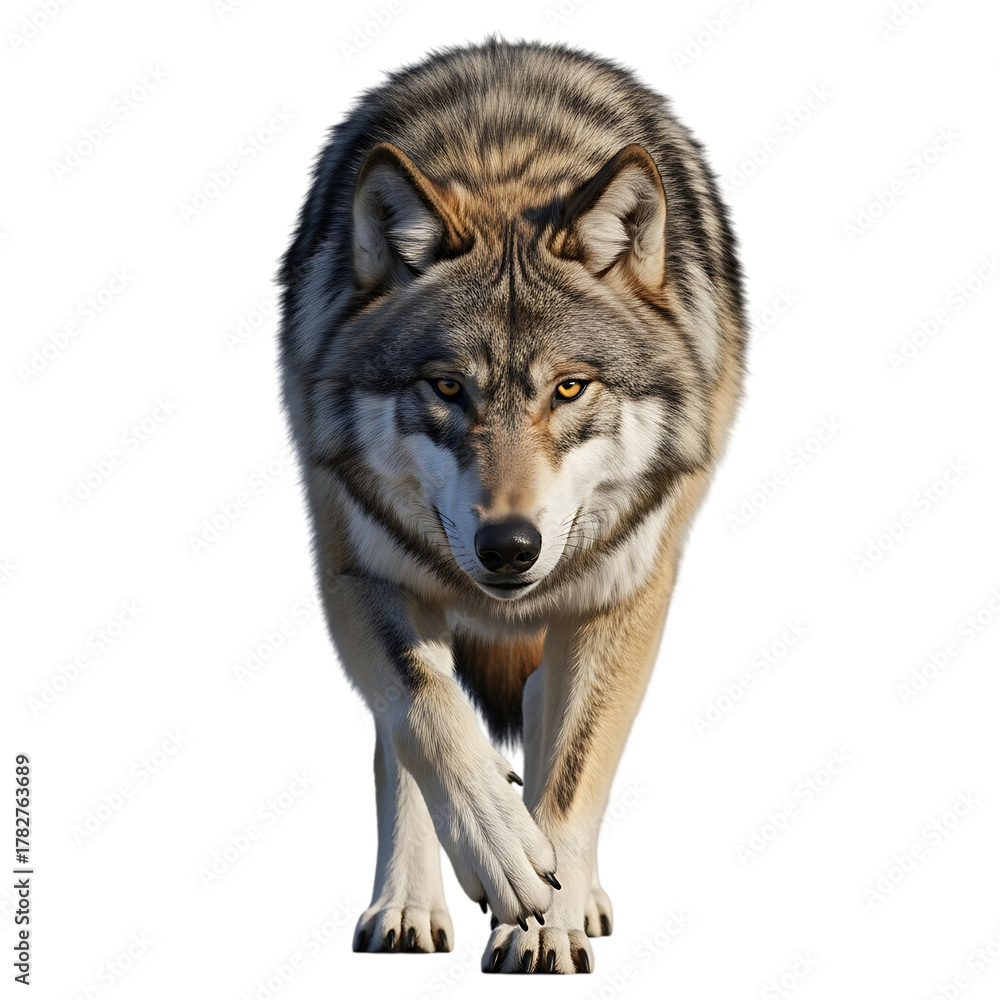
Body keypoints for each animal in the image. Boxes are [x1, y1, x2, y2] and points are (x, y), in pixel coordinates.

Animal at [277, 38, 746, 974]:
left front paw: (548, 918)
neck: (509, 166)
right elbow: (425, 716)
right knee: (401, 737)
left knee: (539, 706)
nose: (509, 547)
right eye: (447, 388)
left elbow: (572, 768)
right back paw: (408, 906)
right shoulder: (356, 567)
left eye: (568, 388)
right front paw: (500, 851)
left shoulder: (624, 591)